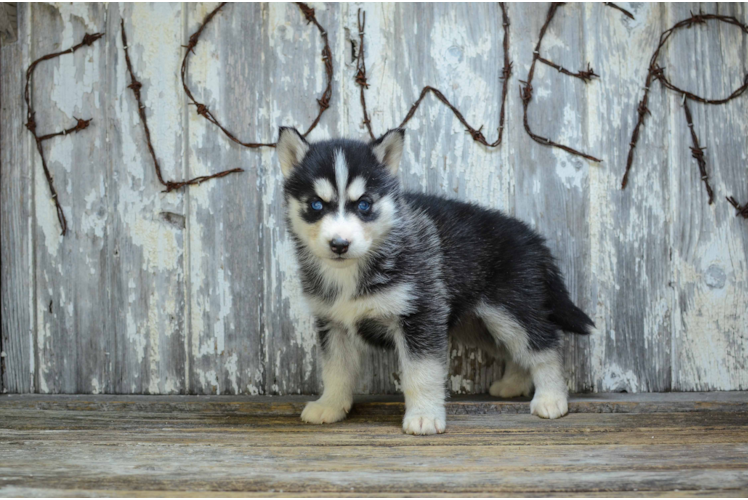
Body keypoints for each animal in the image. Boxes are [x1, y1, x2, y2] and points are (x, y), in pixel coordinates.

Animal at [278, 128, 592, 434]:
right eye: (316, 205)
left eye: (364, 205)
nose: (339, 244)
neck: (351, 272)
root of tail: (533, 237)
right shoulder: (333, 323)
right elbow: (336, 369)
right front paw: (330, 405)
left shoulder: (421, 314)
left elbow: (421, 373)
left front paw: (424, 417)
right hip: (480, 325)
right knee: (515, 351)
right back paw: (514, 384)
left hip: (513, 311)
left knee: (543, 347)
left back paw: (551, 397)